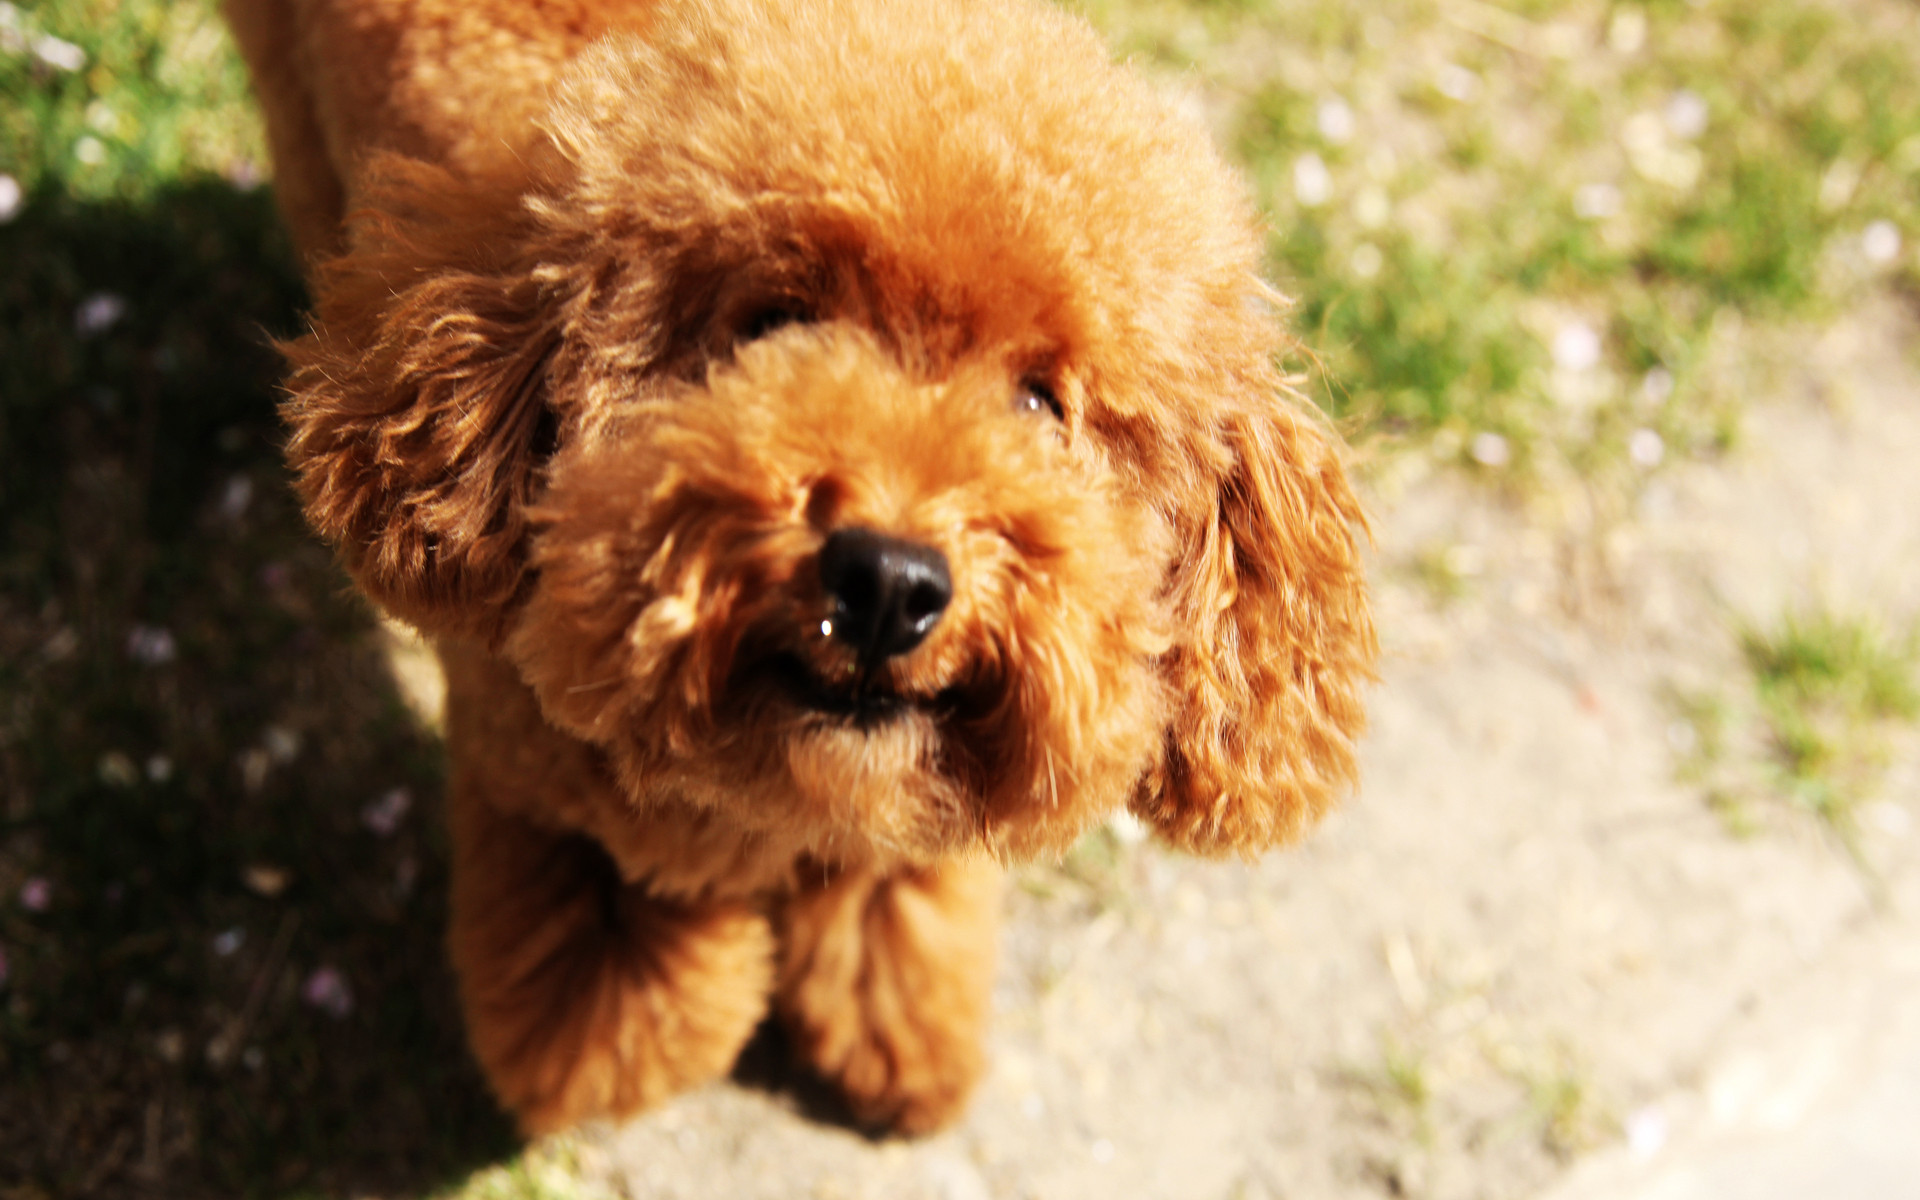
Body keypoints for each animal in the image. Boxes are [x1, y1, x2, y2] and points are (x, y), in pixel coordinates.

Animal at [228, 0, 1382, 1128]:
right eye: (775, 325)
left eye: (1042, 400)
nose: (888, 584)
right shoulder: (537, 796)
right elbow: (618, 973)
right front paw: (612, 1059)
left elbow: (895, 896)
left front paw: (892, 1029)